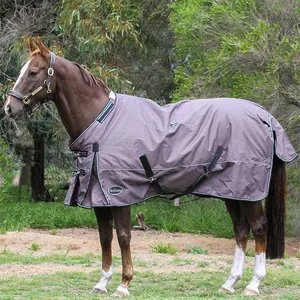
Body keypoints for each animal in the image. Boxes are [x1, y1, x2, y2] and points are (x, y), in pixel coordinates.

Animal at [2, 38, 298, 298]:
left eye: (33, 72)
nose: (9, 108)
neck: (101, 121)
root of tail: (264, 116)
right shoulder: (99, 197)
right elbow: (104, 237)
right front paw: (102, 283)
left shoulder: (119, 194)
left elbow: (123, 237)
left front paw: (124, 284)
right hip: (232, 192)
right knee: (240, 230)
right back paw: (229, 283)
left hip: (249, 192)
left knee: (259, 228)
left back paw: (253, 285)